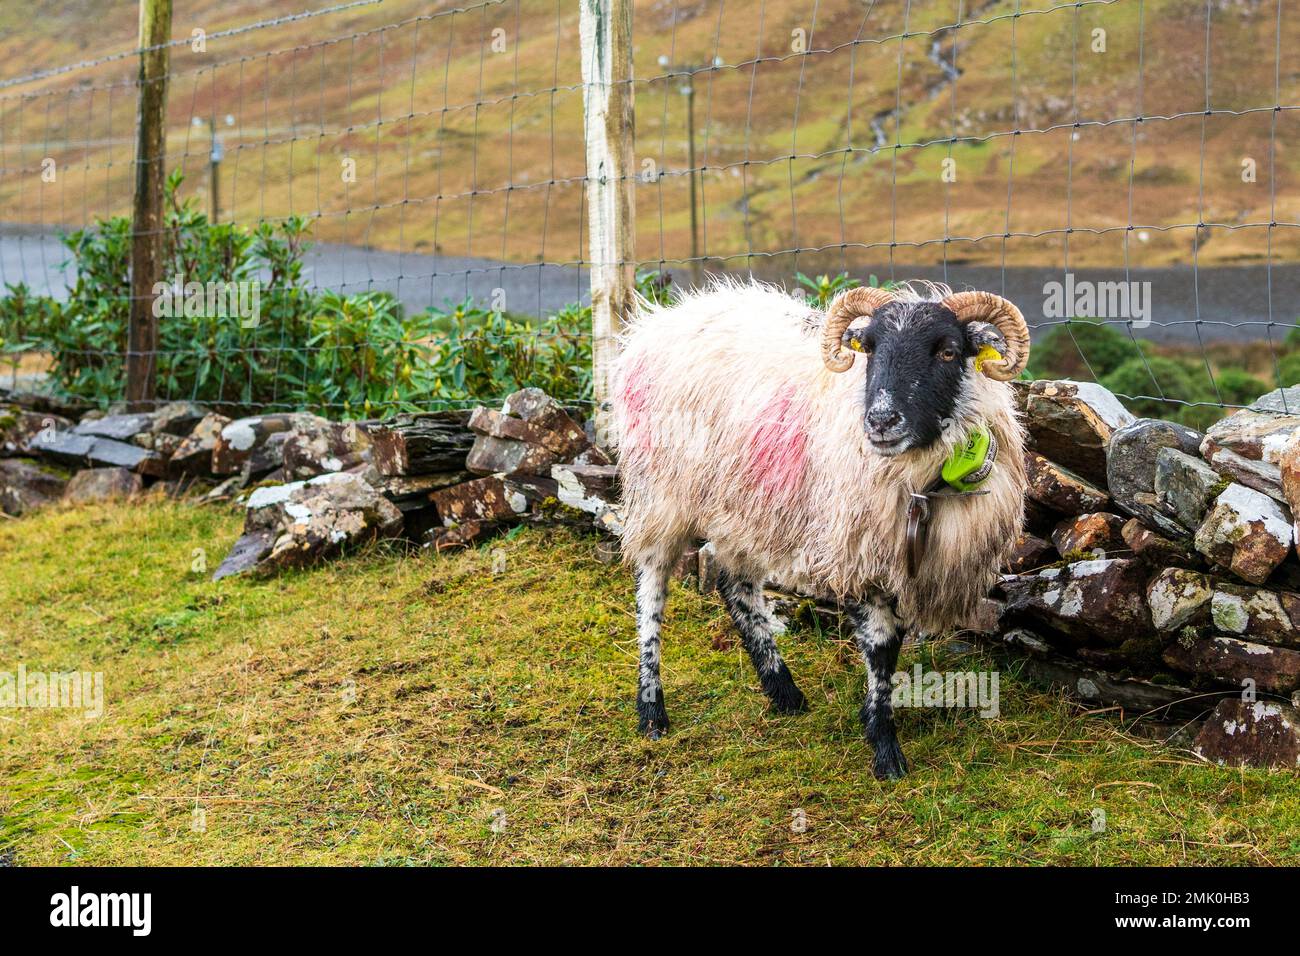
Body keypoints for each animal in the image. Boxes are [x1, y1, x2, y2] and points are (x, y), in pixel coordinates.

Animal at [613, 277, 1029, 780]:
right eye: (868, 347)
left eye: (949, 351)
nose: (881, 421)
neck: (926, 478)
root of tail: (654, 323)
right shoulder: (857, 549)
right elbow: (882, 646)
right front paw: (885, 748)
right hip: (660, 492)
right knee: (651, 590)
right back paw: (652, 709)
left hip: (744, 504)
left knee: (736, 586)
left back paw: (783, 691)